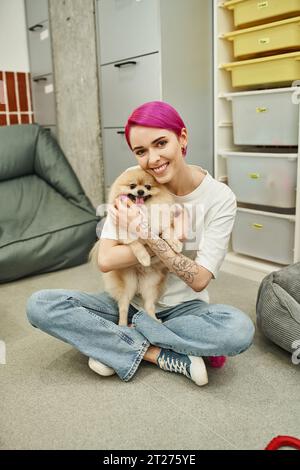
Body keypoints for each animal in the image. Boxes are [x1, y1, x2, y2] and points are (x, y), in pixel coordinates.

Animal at [89, 169, 183, 326]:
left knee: (149, 305)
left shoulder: (161, 224)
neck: (142, 211)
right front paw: (144, 257)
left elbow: (168, 232)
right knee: (123, 306)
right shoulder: (123, 234)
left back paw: (154, 321)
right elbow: (135, 244)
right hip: (128, 284)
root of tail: (139, 279)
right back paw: (123, 325)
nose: (140, 191)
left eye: (148, 187)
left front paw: (176, 244)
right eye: (132, 186)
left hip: (151, 284)